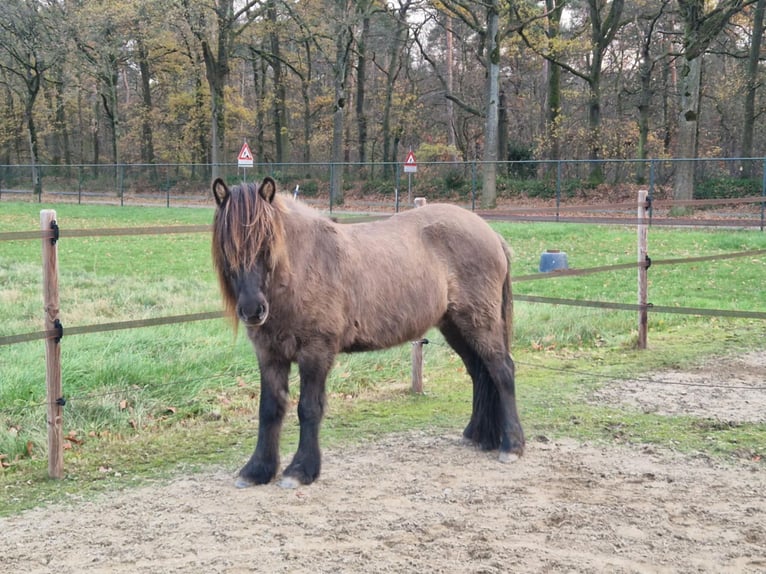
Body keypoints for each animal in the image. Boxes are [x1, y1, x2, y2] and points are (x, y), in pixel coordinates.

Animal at [211, 177, 524, 488]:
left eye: (267, 243)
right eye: (227, 247)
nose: (253, 310)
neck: (302, 267)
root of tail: (491, 234)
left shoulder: (316, 352)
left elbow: (308, 408)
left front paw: (300, 470)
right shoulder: (270, 354)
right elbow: (269, 409)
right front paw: (257, 470)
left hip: (479, 323)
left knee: (502, 371)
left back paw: (512, 446)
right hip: (454, 326)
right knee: (479, 373)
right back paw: (477, 435)